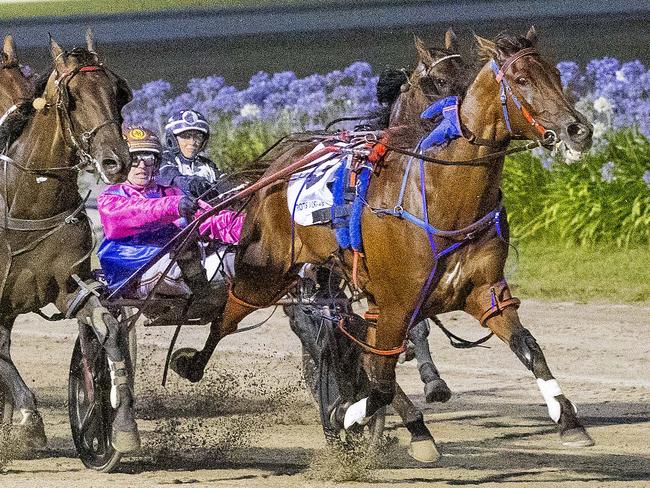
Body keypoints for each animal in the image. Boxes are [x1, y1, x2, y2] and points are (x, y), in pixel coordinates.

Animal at [0, 34, 134, 452]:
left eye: (119, 91)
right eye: (71, 96)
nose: (116, 162)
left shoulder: (68, 286)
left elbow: (104, 325)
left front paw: (119, 423)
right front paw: (28, 419)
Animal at [175, 27, 596, 458]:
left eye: (557, 76)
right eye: (521, 80)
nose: (578, 130)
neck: (441, 194)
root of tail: (277, 167)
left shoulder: (483, 292)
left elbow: (527, 346)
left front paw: (569, 420)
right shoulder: (396, 303)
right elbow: (378, 380)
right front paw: (346, 416)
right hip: (267, 273)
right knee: (230, 316)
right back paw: (191, 364)